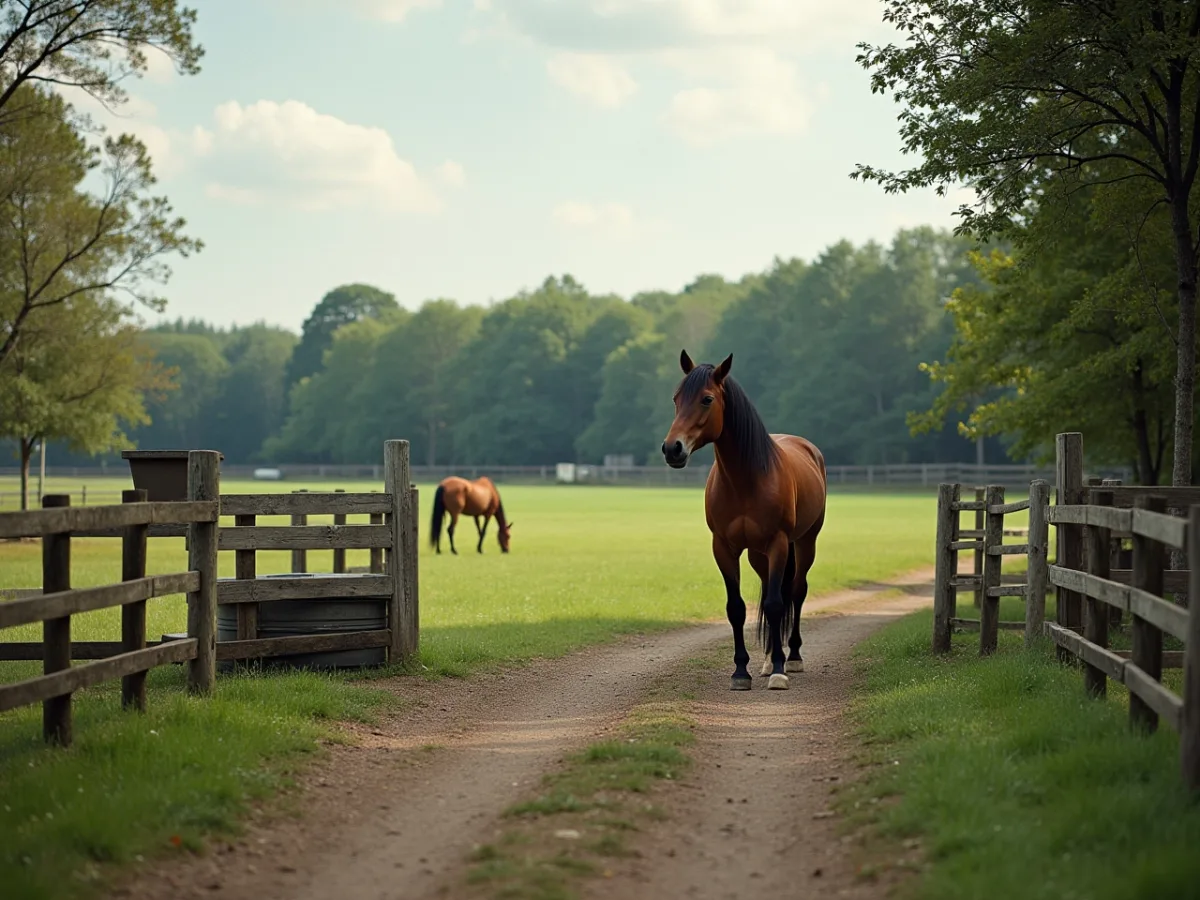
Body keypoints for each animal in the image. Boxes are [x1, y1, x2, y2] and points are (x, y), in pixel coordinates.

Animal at [662, 350, 826, 691]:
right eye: (676, 398)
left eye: (707, 399)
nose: (672, 448)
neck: (746, 480)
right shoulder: (724, 548)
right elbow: (737, 608)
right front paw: (741, 671)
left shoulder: (779, 543)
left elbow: (777, 605)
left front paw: (779, 671)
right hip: (757, 555)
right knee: (771, 593)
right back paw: (766, 659)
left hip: (804, 543)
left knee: (795, 592)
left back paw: (792, 657)